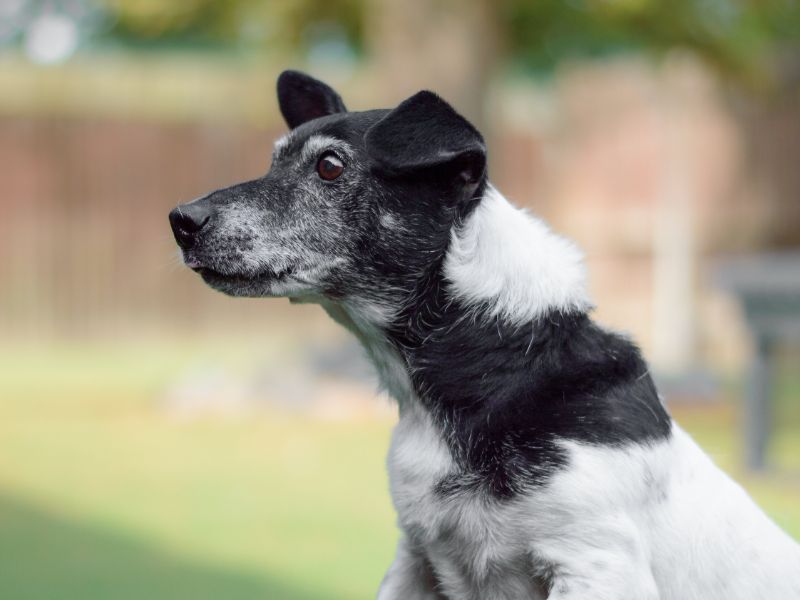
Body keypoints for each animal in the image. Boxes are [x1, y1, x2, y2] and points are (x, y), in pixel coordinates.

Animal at [170, 71, 800, 600]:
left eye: (329, 166)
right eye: (273, 163)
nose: (180, 220)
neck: (494, 363)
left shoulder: (595, 565)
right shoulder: (415, 562)